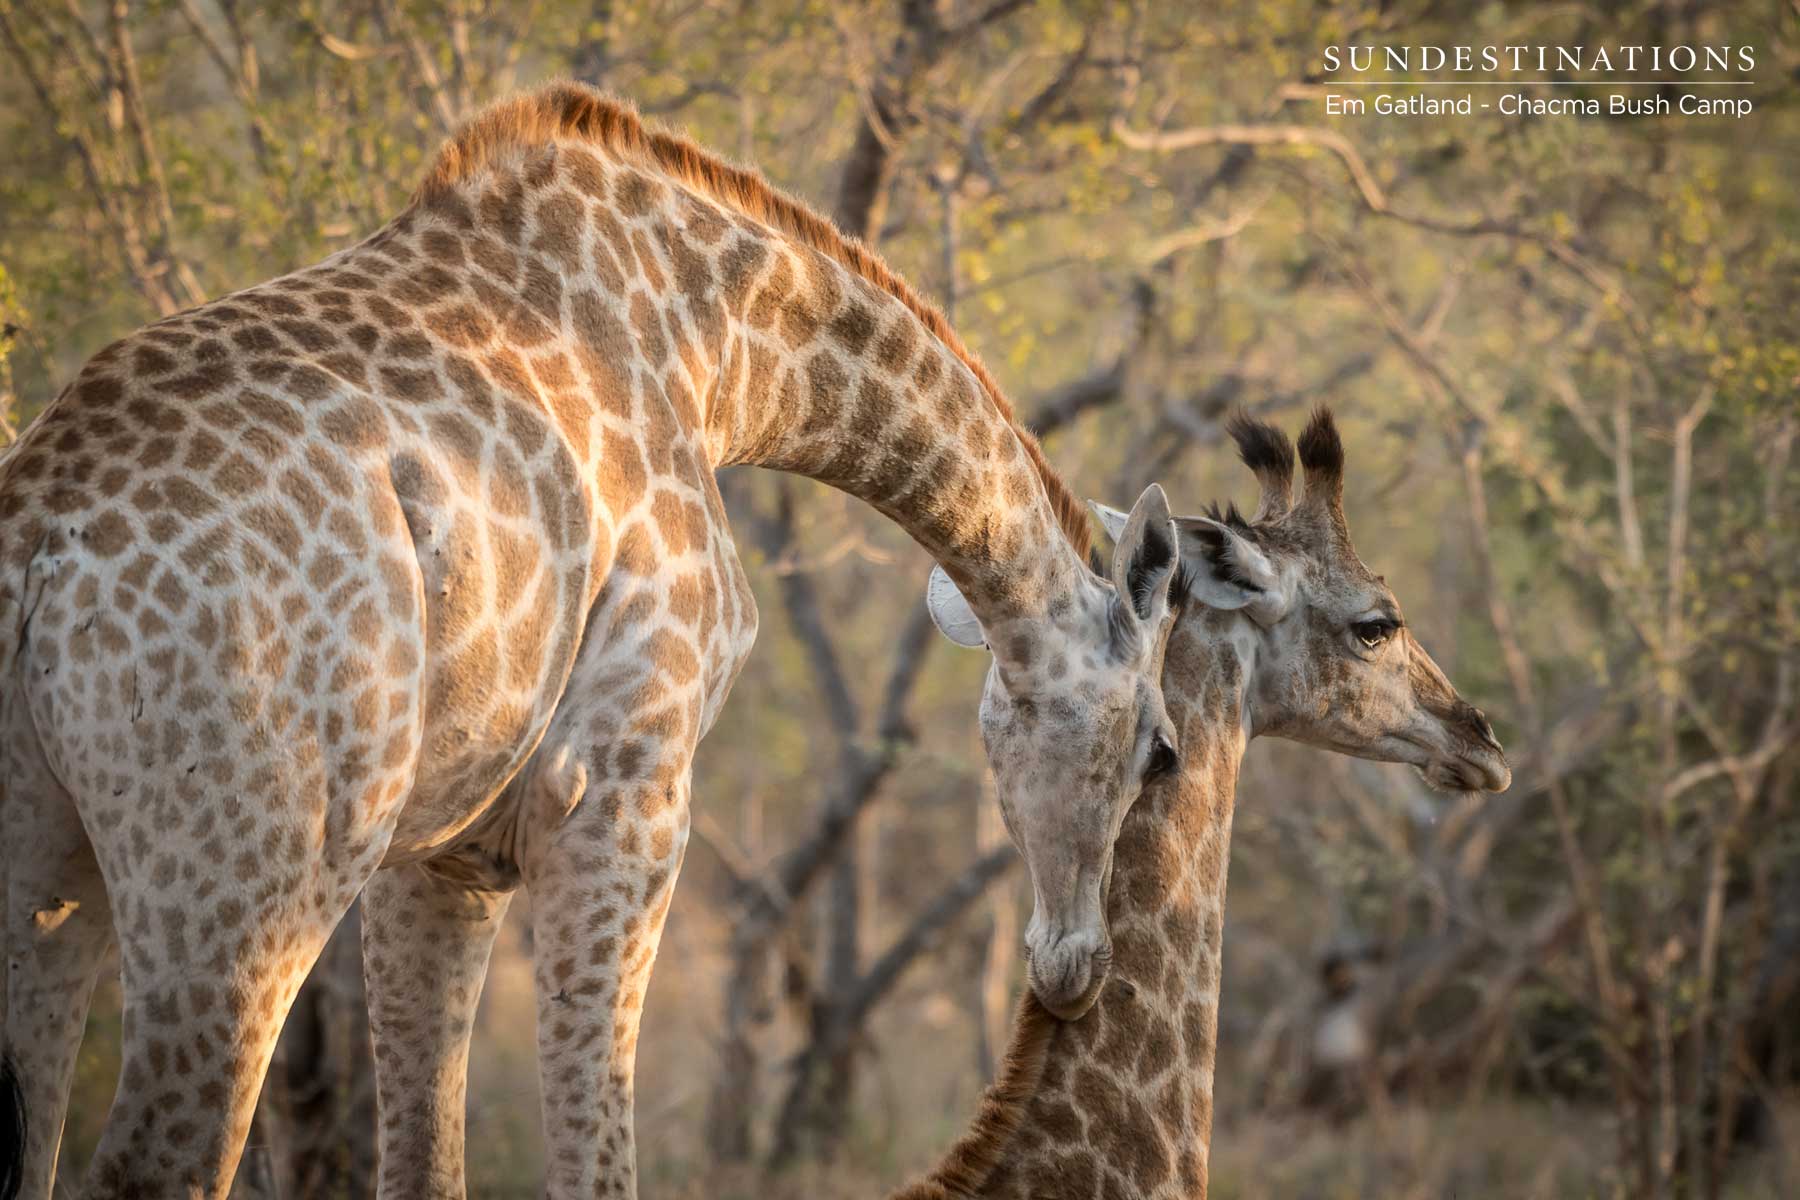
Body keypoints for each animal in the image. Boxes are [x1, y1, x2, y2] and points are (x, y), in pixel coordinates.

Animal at [0, 84, 1186, 1198]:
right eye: (1161, 751)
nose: (1073, 967)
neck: (722, 358)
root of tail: (35, 547)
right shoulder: (626, 790)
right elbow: (595, 1154)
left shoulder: (443, 847)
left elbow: (424, 1161)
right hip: (247, 892)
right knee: (157, 1159)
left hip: (58, 884)